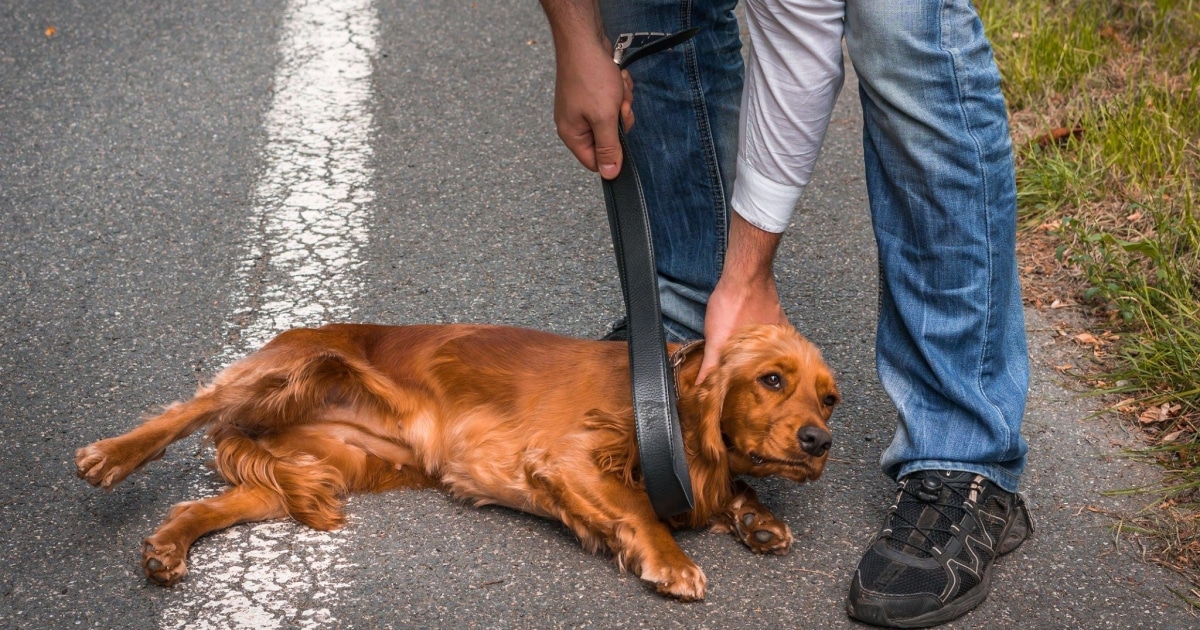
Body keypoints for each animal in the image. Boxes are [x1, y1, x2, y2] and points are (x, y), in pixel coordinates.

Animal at [77, 324, 835, 600]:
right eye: (771, 380)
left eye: (829, 399)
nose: (819, 442)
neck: (668, 402)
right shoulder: (566, 456)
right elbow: (639, 510)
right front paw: (672, 563)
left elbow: (723, 491)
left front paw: (757, 518)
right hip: (290, 368)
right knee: (193, 408)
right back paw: (109, 455)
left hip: (323, 466)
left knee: (210, 503)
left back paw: (166, 548)